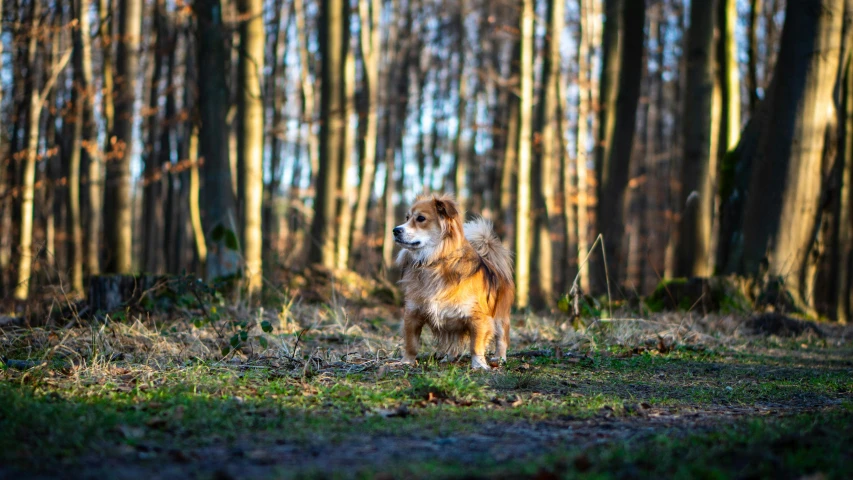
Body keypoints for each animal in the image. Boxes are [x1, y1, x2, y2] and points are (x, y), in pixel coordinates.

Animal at [392, 193, 512, 370]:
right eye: (407, 218)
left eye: (421, 218)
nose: (395, 230)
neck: (434, 262)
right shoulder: (412, 313)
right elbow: (411, 342)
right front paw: (407, 361)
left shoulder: (478, 318)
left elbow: (476, 345)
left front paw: (479, 365)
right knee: (453, 341)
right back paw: (448, 357)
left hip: (500, 316)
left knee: (501, 339)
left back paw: (499, 358)